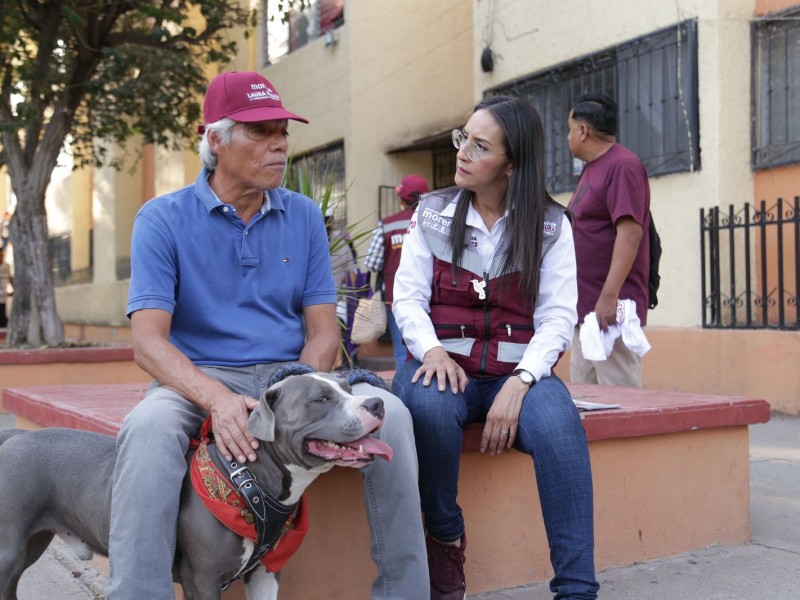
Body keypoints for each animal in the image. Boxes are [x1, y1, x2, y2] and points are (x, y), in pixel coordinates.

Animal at [0, 372, 390, 600]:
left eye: (348, 388)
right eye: (320, 399)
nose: (377, 402)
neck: (248, 480)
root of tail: (15, 435)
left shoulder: (266, 573)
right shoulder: (201, 580)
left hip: (30, 544)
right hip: (8, 548)